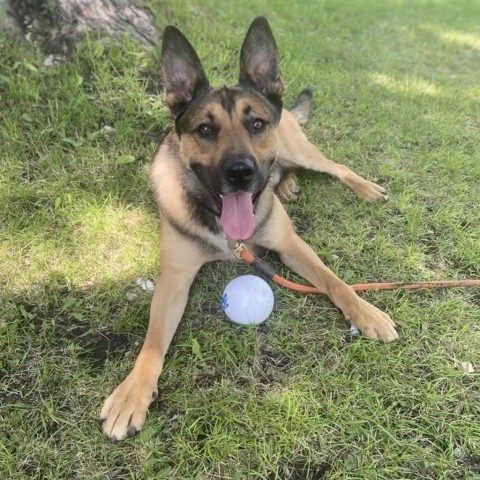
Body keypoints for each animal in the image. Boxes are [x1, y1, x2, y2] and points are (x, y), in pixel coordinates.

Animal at [98, 15, 398, 440]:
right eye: (205, 130)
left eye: (256, 123)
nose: (240, 173)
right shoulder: (174, 277)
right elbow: (153, 343)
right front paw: (132, 394)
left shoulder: (291, 244)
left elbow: (335, 281)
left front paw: (366, 312)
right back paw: (287, 184)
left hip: (300, 151)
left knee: (334, 166)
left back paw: (361, 187)